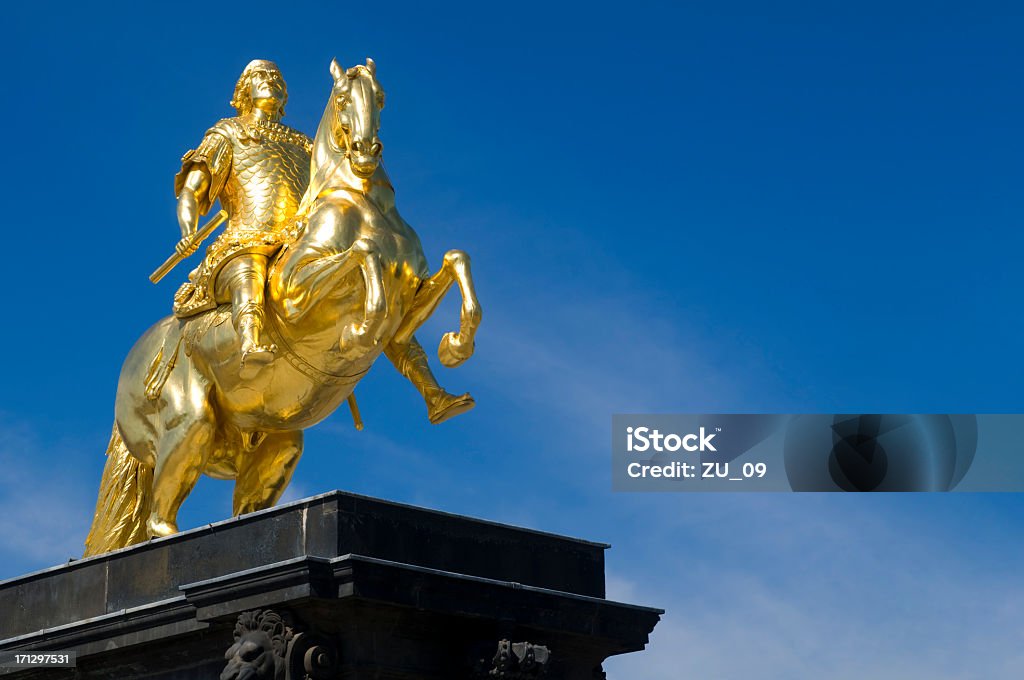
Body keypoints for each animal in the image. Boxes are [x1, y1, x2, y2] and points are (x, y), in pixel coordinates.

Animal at [83, 58, 479, 557]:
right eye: (344, 98)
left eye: (381, 96)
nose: (366, 150)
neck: (363, 204)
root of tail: (137, 358)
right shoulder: (293, 298)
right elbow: (363, 255)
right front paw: (359, 331)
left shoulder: (410, 297)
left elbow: (454, 264)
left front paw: (455, 346)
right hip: (189, 424)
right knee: (158, 516)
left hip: (277, 443)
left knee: (244, 504)